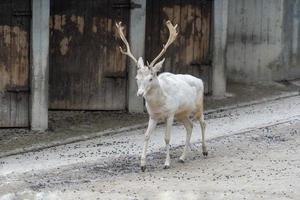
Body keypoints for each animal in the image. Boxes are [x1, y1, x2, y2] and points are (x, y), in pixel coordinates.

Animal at [116, 20, 207, 172]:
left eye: (151, 78)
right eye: (136, 78)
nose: (140, 93)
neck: (159, 104)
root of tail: (200, 80)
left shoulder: (170, 114)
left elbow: (167, 138)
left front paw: (166, 163)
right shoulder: (153, 116)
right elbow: (146, 136)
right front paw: (142, 165)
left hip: (198, 106)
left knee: (202, 123)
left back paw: (205, 151)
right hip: (181, 113)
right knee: (190, 126)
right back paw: (182, 157)